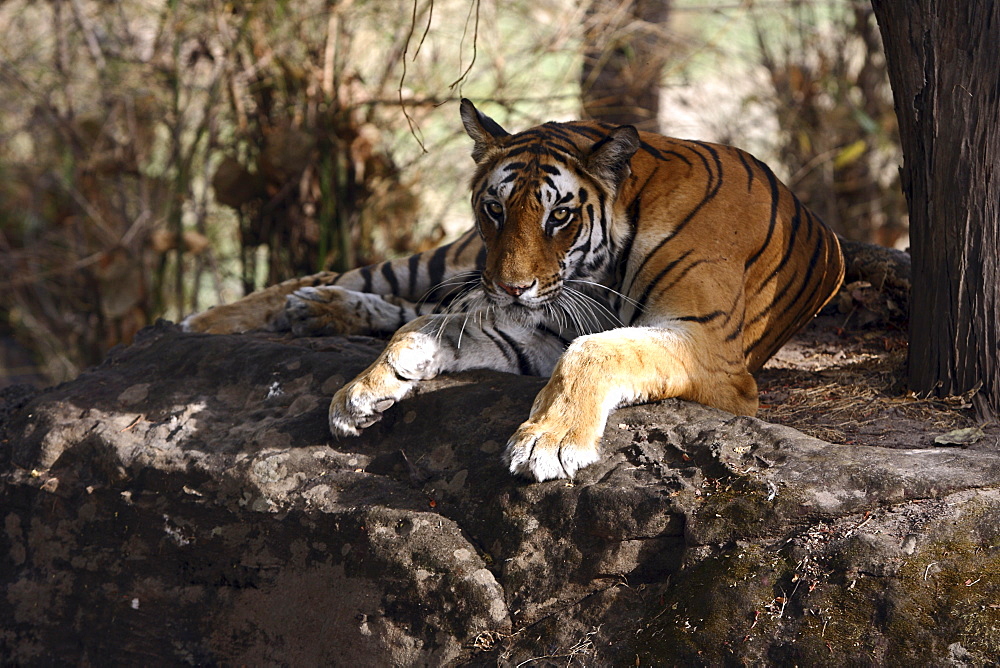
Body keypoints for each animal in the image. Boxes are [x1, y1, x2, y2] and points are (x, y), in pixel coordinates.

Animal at [182, 99, 844, 480]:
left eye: (560, 216)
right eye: (495, 208)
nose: (509, 287)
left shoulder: (705, 343)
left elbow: (593, 351)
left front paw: (548, 442)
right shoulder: (536, 318)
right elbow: (422, 328)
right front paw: (361, 392)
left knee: (400, 300)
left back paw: (313, 313)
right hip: (450, 259)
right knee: (351, 279)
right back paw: (216, 319)